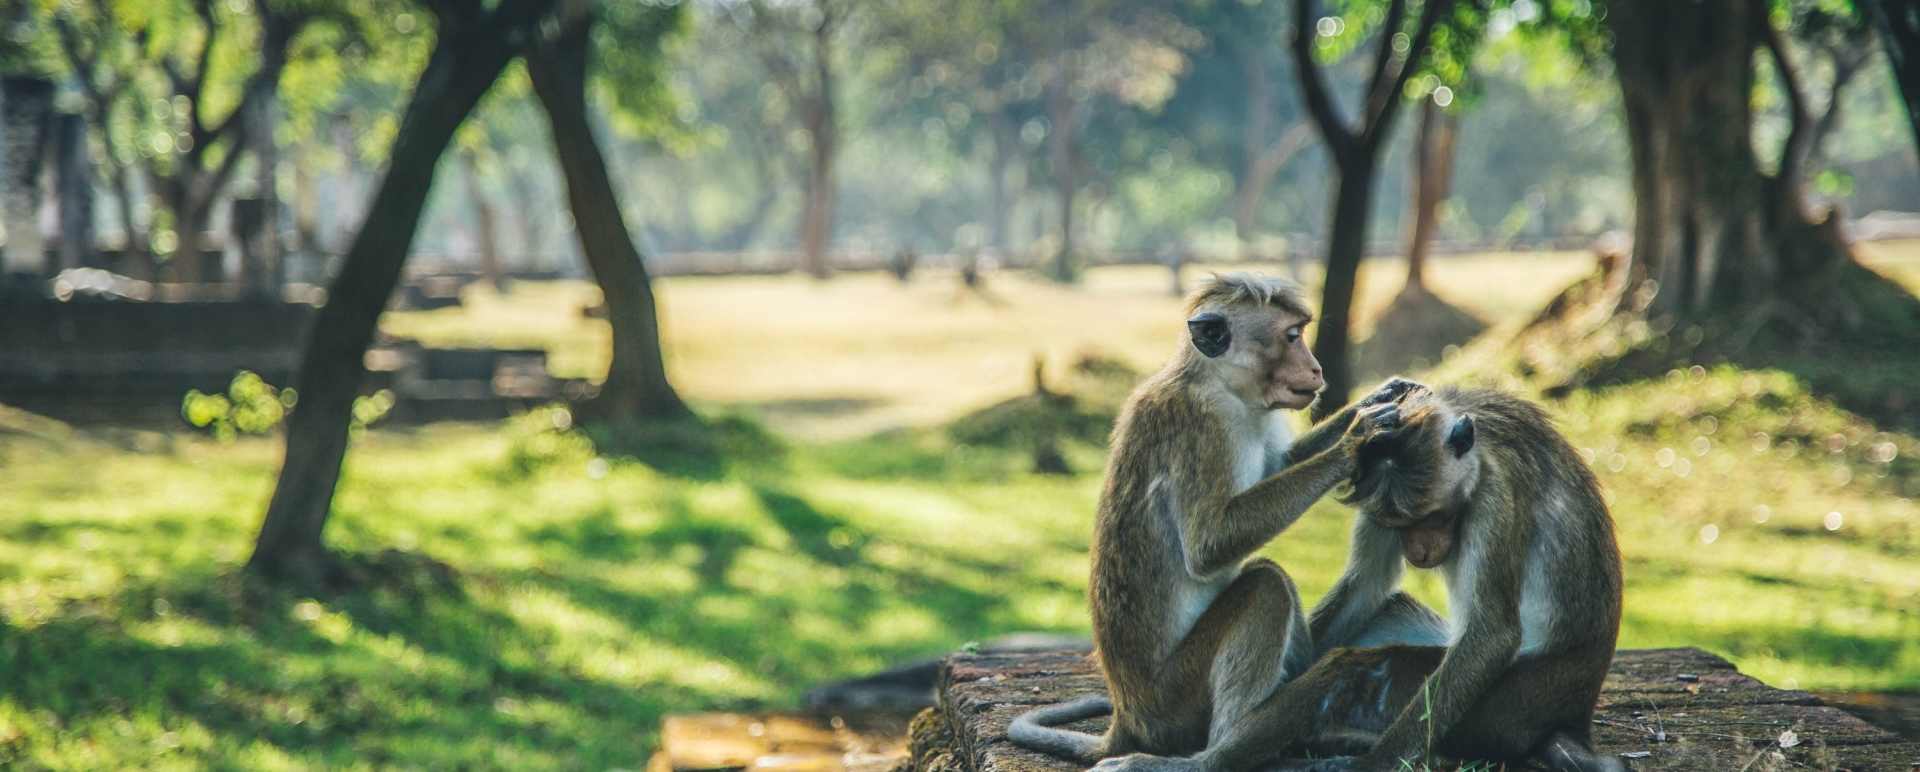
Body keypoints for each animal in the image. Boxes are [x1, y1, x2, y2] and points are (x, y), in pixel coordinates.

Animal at [1007, 272, 1437, 764]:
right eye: (1292, 336)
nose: (1316, 370)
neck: (1223, 386)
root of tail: (1127, 716)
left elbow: (1280, 464)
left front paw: (1378, 397)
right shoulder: (1205, 428)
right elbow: (1208, 546)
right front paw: (1356, 439)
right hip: (1174, 700)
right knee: (1266, 586)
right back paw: (1238, 742)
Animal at [1089, 386, 1625, 772]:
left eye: (1430, 516)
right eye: (1398, 523)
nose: (1420, 551)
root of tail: (1575, 711)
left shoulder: (1497, 493)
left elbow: (1492, 632)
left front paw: (1373, 762)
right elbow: (1367, 586)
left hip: (1517, 702)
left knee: (1357, 667)